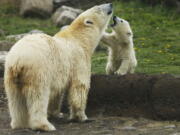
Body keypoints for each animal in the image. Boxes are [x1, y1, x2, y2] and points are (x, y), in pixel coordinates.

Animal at [4, 3, 112, 131]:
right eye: (98, 7)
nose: (110, 4)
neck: (80, 39)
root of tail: (18, 59)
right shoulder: (79, 60)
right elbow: (79, 87)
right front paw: (82, 117)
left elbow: (56, 92)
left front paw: (56, 113)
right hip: (38, 71)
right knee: (38, 97)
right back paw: (45, 125)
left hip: (10, 74)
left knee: (15, 98)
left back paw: (19, 123)